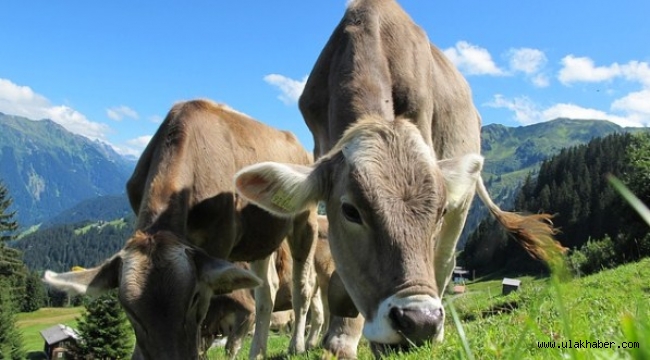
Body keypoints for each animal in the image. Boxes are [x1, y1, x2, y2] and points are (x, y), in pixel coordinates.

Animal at [42, 100, 316, 360]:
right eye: (128, 309)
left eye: (194, 297)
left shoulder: (218, 243)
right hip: (260, 239)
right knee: (266, 291)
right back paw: (257, 351)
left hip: (305, 219)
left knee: (302, 286)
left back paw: (297, 345)